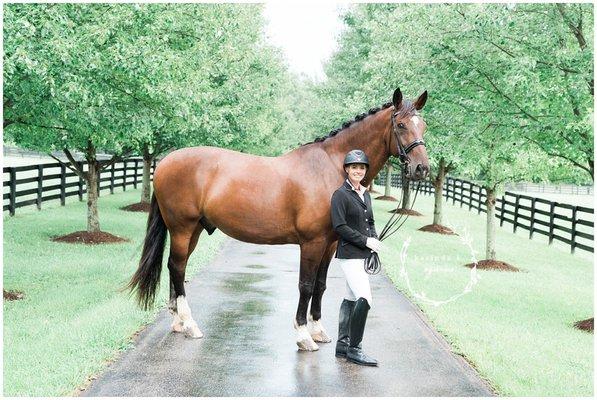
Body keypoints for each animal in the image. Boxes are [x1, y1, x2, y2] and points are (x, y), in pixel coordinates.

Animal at [127, 87, 428, 350]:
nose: (422, 169)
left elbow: (320, 286)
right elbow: (306, 285)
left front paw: (318, 330)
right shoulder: (312, 243)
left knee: (175, 267)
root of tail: (165, 162)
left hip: (195, 230)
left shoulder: (330, 244)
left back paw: (178, 321)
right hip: (182, 228)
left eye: (423, 125)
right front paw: (303, 335)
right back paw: (190, 324)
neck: (331, 167)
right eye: (401, 125)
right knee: (177, 267)